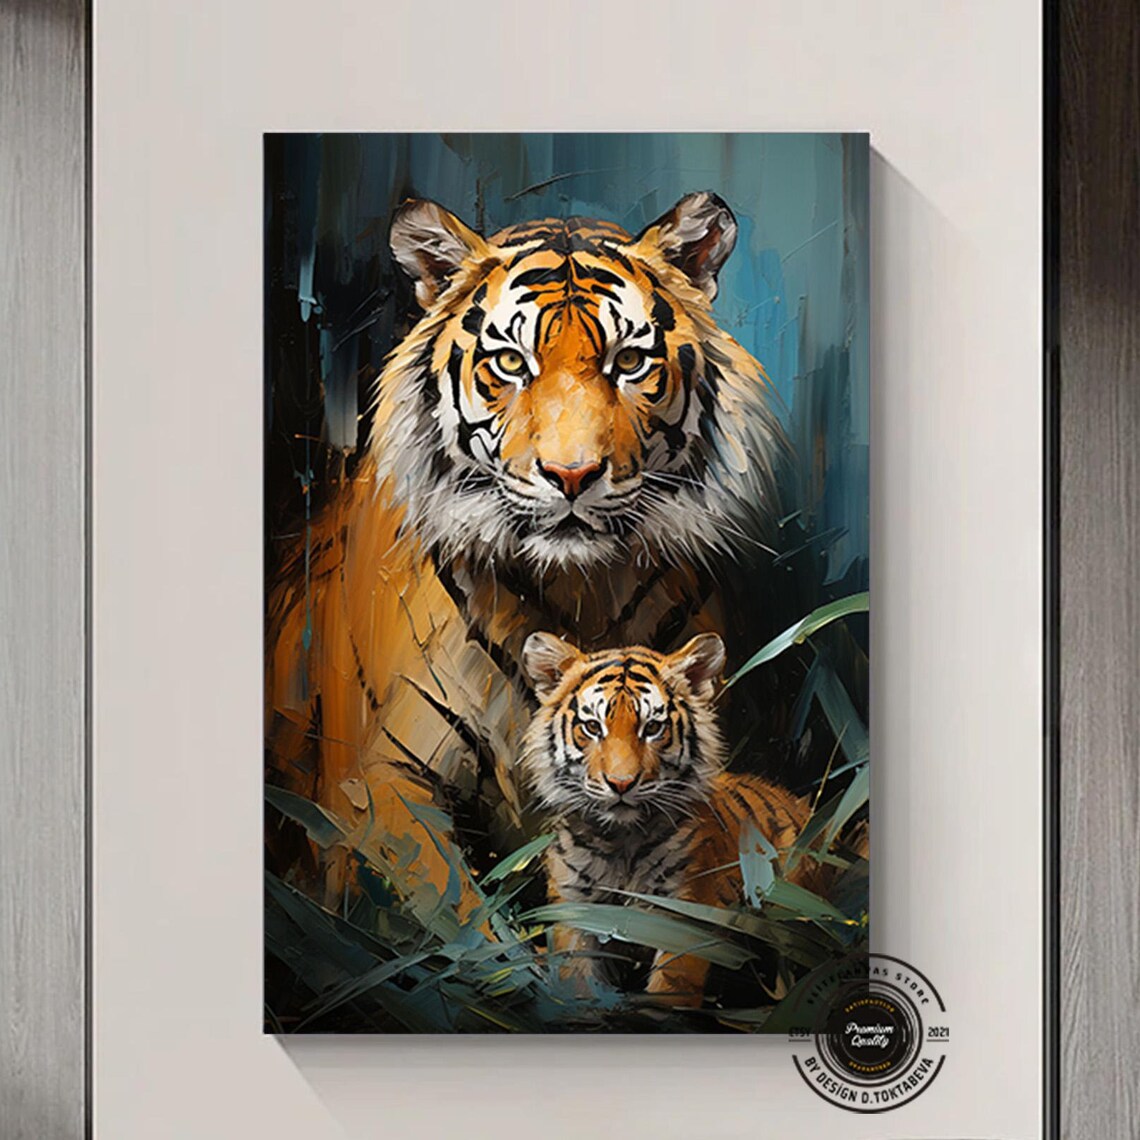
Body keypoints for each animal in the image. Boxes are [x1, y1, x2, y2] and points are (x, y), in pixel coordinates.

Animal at [266, 192, 784, 920]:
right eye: (511, 363)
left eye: (629, 362)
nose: (572, 475)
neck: (577, 590)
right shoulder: (375, 785)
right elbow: (462, 918)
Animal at [520, 630, 822, 1008]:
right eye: (591, 727)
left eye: (652, 727)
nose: (621, 783)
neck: (622, 842)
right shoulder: (574, 909)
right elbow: (577, 982)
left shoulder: (684, 912)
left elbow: (670, 991)